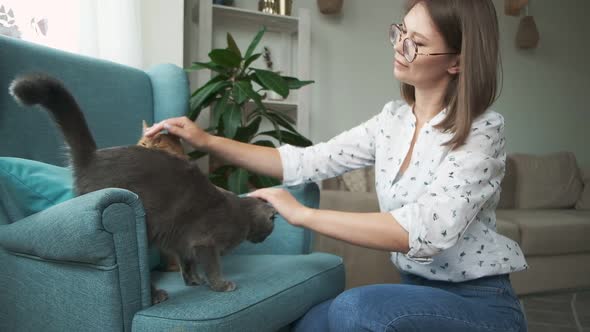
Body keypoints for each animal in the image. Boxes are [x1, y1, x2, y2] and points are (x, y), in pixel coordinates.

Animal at [8, 73, 278, 304]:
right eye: (271, 227)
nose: (264, 239)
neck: (240, 213)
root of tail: (93, 157)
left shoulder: (182, 242)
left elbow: (187, 263)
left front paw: (193, 280)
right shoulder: (205, 242)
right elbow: (211, 266)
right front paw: (220, 285)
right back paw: (156, 295)